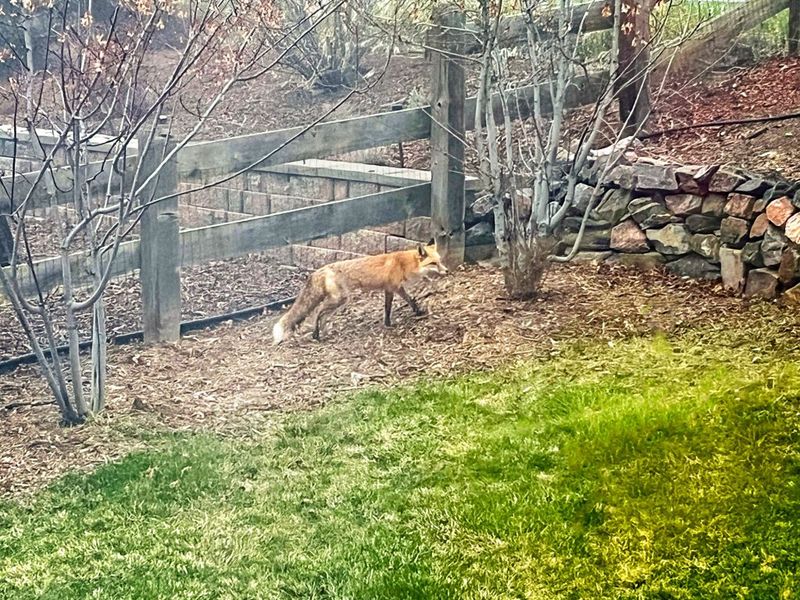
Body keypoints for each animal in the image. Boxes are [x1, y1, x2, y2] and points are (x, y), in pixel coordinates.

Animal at [272, 242, 448, 345]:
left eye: (440, 261)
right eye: (433, 263)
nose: (446, 270)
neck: (404, 264)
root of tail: (319, 271)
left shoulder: (389, 289)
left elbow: (388, 309)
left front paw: (387, 324)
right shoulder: (396, 287)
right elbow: (410, 300)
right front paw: (417, 312)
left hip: (339, 302)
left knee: (322, 316)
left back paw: (323, 334)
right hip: (340, 299)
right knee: (317, 312)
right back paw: (316, 335)